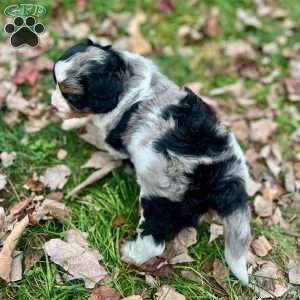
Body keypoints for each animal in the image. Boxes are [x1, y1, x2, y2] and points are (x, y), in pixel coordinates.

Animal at [51, 39, 251, 286]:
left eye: (71, 97)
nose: (53, 105)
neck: (127, 80)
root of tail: (220, 171)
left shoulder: (112, 133)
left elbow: (99, 131)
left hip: (161, 199)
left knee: (154, 237)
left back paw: (132, 253)